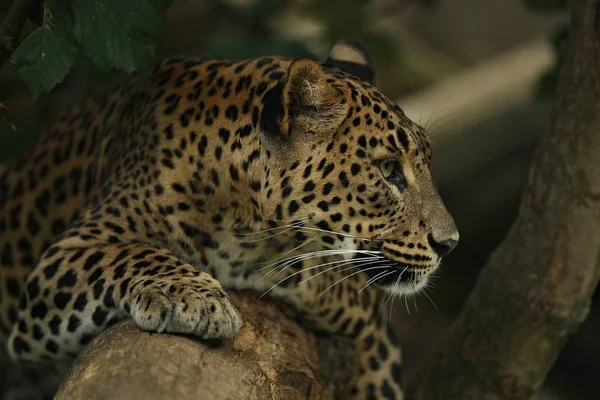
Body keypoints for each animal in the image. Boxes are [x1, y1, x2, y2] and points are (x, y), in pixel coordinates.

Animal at [1, 39, 460, 398]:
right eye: (388, 170)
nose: (449, 243)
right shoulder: (60, 260)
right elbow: (132, 253)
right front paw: (196, 299)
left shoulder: (373, 333)